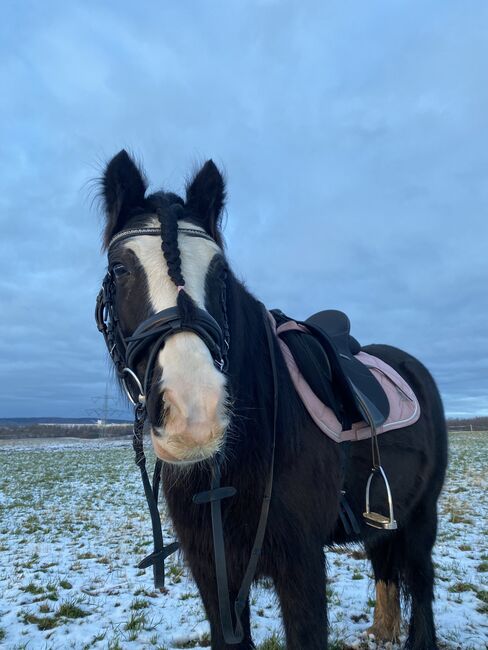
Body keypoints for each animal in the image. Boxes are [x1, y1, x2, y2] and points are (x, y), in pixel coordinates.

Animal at [97, 149, 448, 644]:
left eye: (220, 272)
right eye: (120, 269)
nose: (195, 414)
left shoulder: (302, 566)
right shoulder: (213, 573)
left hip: (421, 518)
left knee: (421, 588)